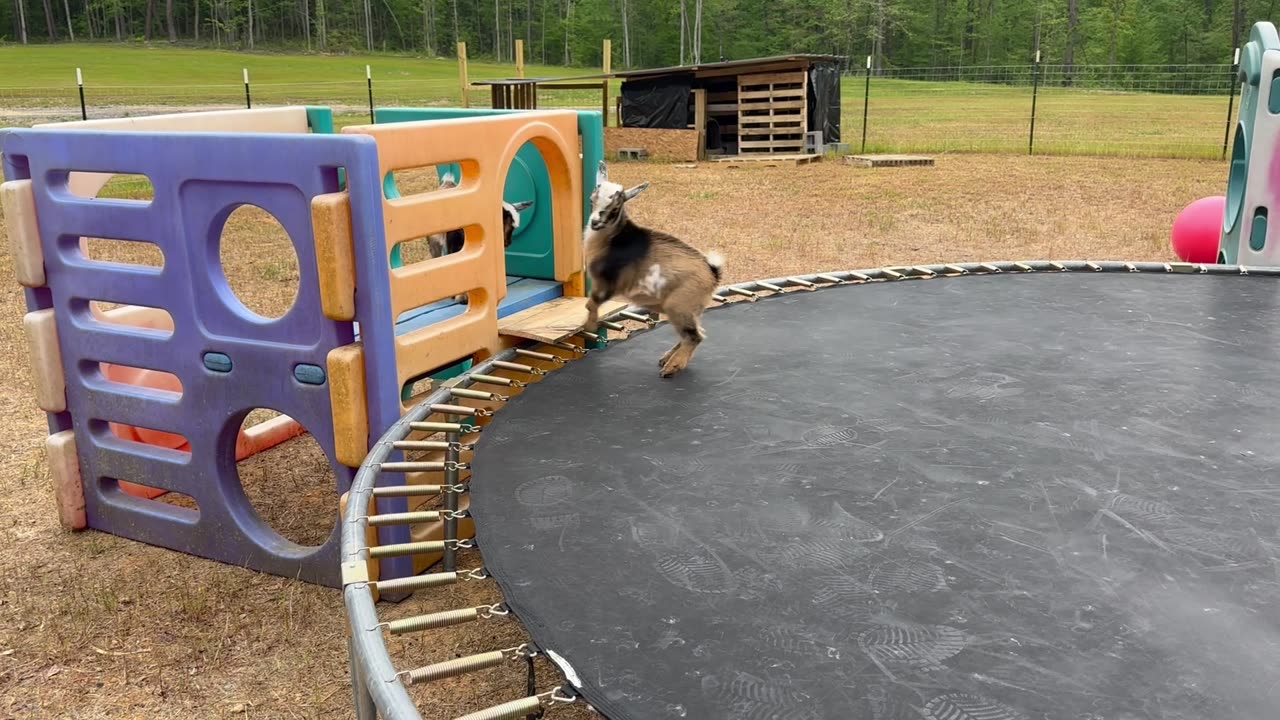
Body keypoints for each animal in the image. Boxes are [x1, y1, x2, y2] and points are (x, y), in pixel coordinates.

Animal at [586, 160, 727, 379]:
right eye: (592, 198)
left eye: (615, 207)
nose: (595, 222)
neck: (611, 238)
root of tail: (712, 273)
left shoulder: (607, 282)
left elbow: (591, 304)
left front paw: (590, 326)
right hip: (690, 309)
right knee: (695, 333)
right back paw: (668, 358)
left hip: (679, 305)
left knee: (694, 336)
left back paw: (672, 367)